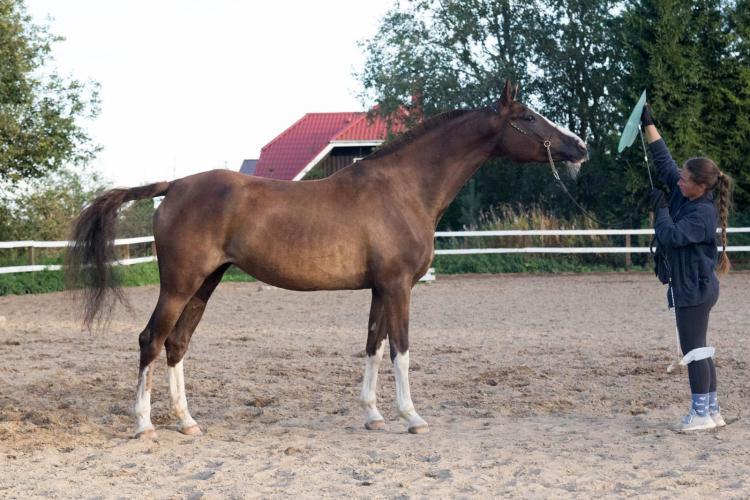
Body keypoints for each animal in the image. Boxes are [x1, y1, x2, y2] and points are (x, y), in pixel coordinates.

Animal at [66, 80, 587, 438]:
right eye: (529, 116)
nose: (579, 147)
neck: (404, 188)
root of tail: (173, 185)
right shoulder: (398, 286)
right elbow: (401, 349)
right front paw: (411, 416)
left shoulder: (380, 288)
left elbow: (373, 345)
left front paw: (373, 415)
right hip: (178, 284)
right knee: (150, 340)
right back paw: (144, 424)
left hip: (205, 283)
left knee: (177, 344)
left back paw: (187, 421)